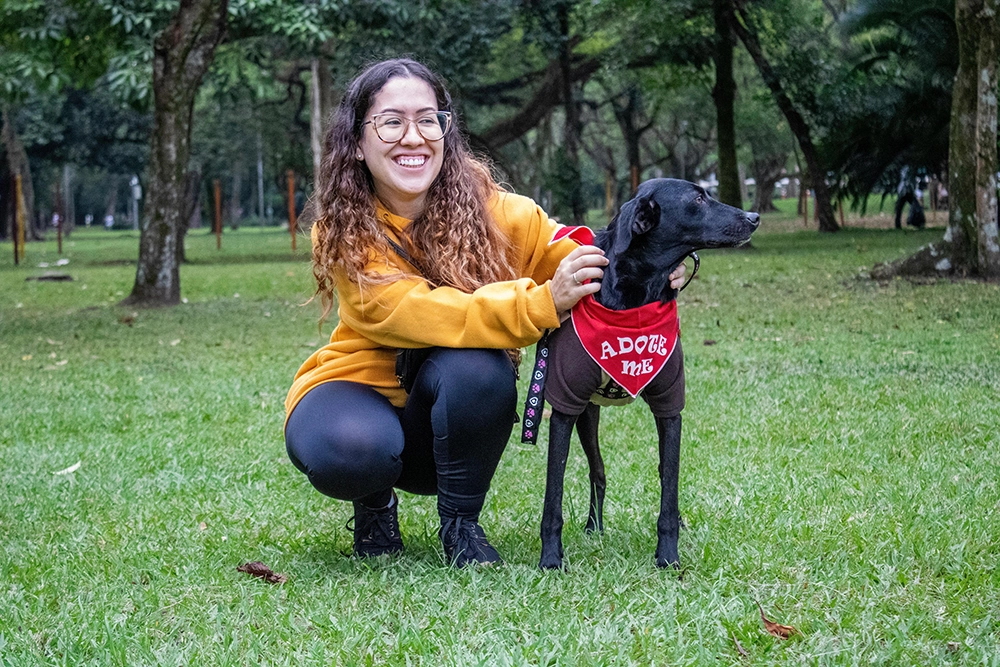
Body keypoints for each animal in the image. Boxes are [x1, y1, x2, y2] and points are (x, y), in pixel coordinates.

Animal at [540, 177, 756, 568]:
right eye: (698, 198)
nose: (754, 217)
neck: (635, 297)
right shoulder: (564, 408)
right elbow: (555, 490)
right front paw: (550, 557)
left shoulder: (670, 407)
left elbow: (669, 482)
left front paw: (668, 555)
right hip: (587, 415)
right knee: (598, 470)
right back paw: (594, 526)